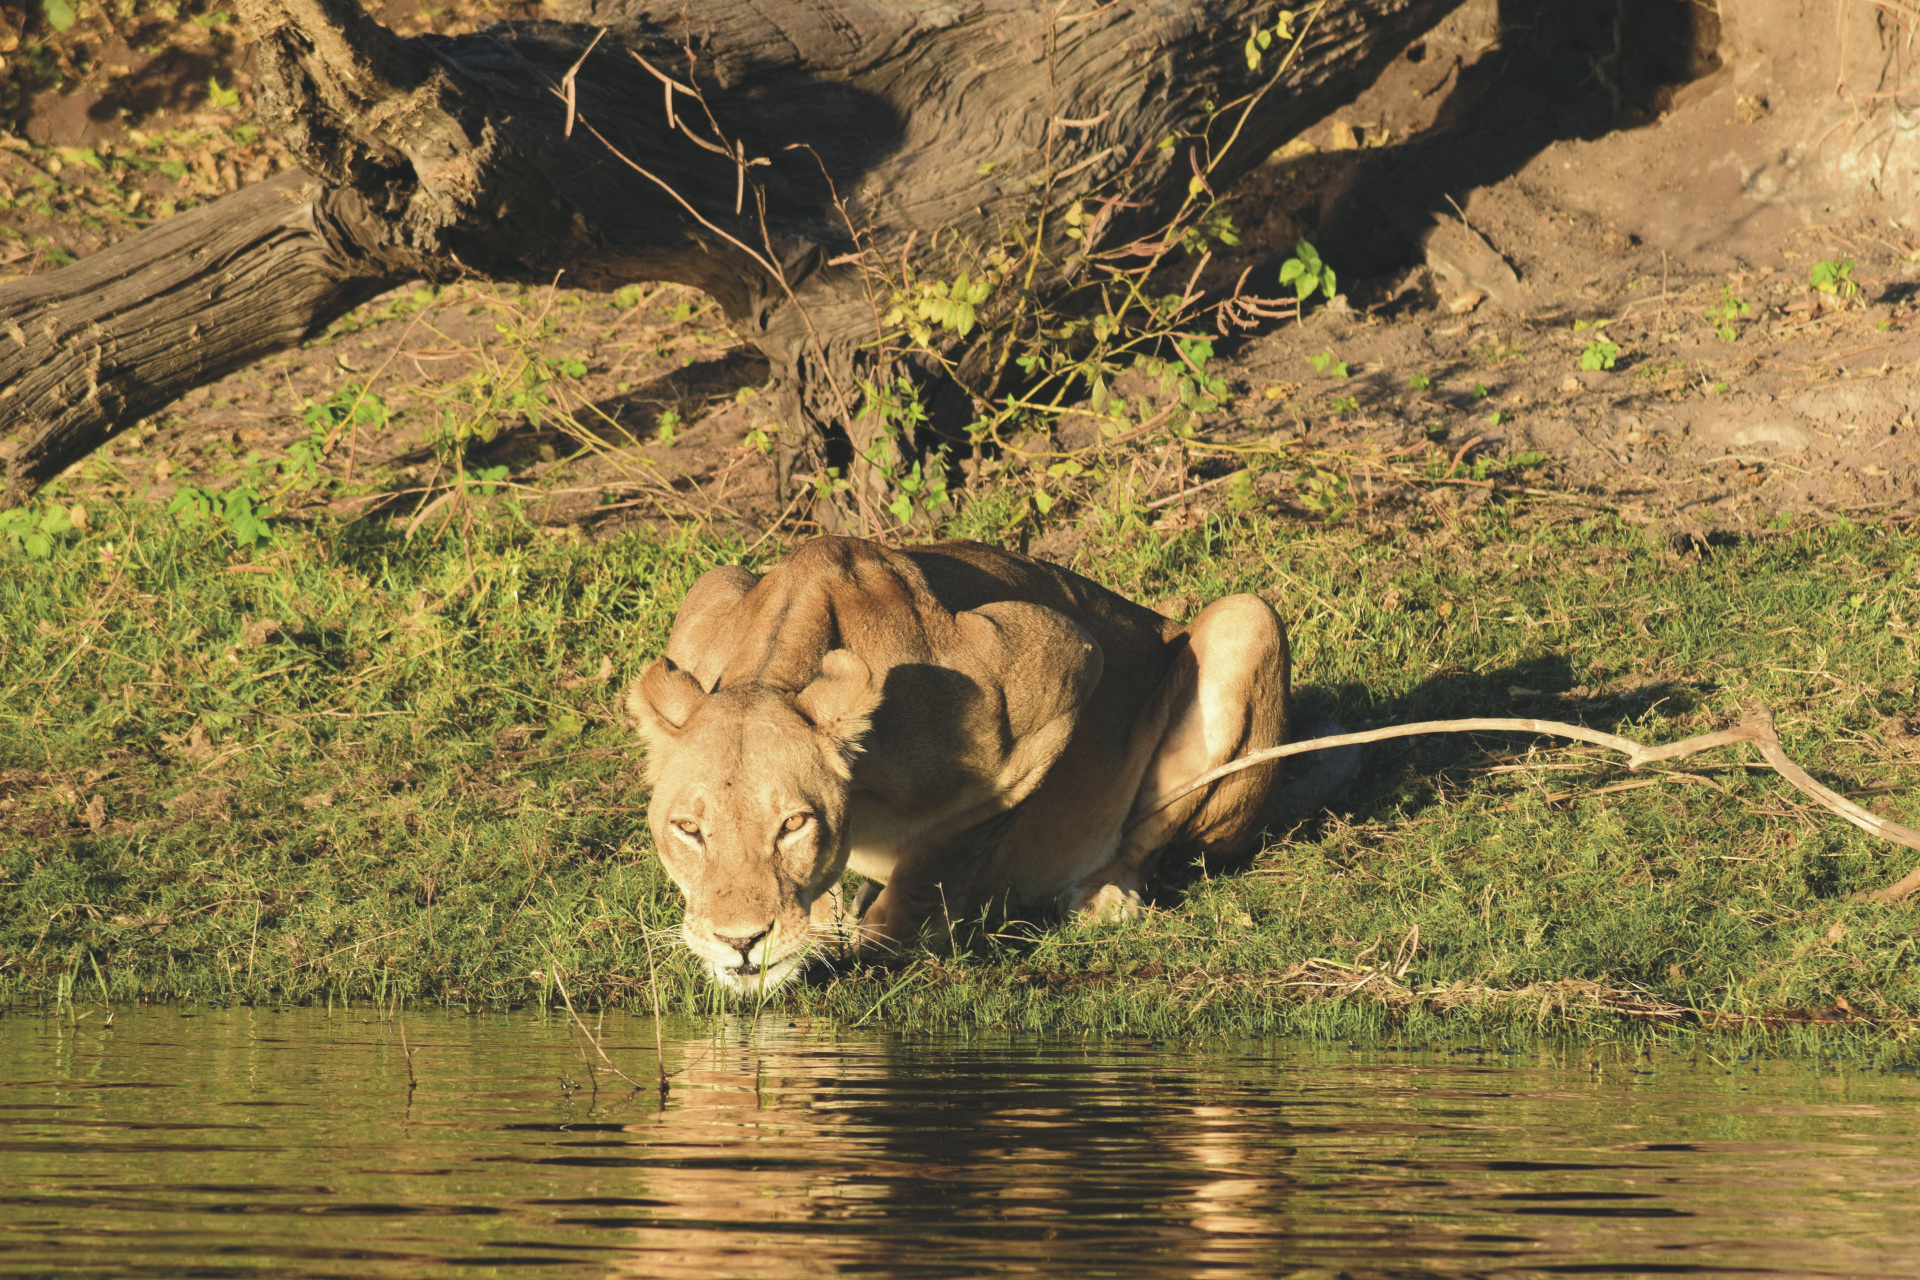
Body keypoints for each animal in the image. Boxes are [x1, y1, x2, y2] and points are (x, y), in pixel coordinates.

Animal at [627, 535, 1327, 993]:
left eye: (794, 825)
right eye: (689, 830)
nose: (741, 942)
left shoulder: (1060, 665)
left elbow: (946, 848)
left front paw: (886, 937)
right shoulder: (709, 594)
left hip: (1249, 618)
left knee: (1146, 843)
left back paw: (1103, 896)